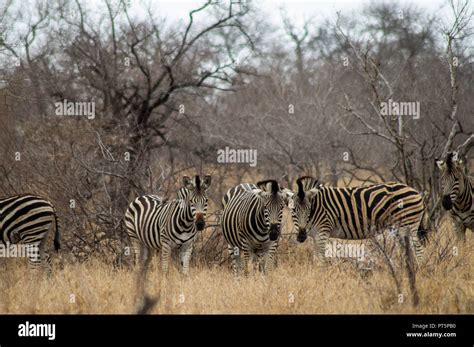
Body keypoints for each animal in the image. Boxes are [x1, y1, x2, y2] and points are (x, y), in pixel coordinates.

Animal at [286, 177, 428, 266]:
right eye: (293, 211)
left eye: (308, 210)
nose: (301, 236)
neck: (316, 206)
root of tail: (416, 192)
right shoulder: (315, 235)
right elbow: (317, 257)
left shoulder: (323, 231)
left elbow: (321, 258)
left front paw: (322, 276)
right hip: (399, 228)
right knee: (409, 250)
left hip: (408, 224)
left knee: (418, 250)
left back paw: (419, 271)